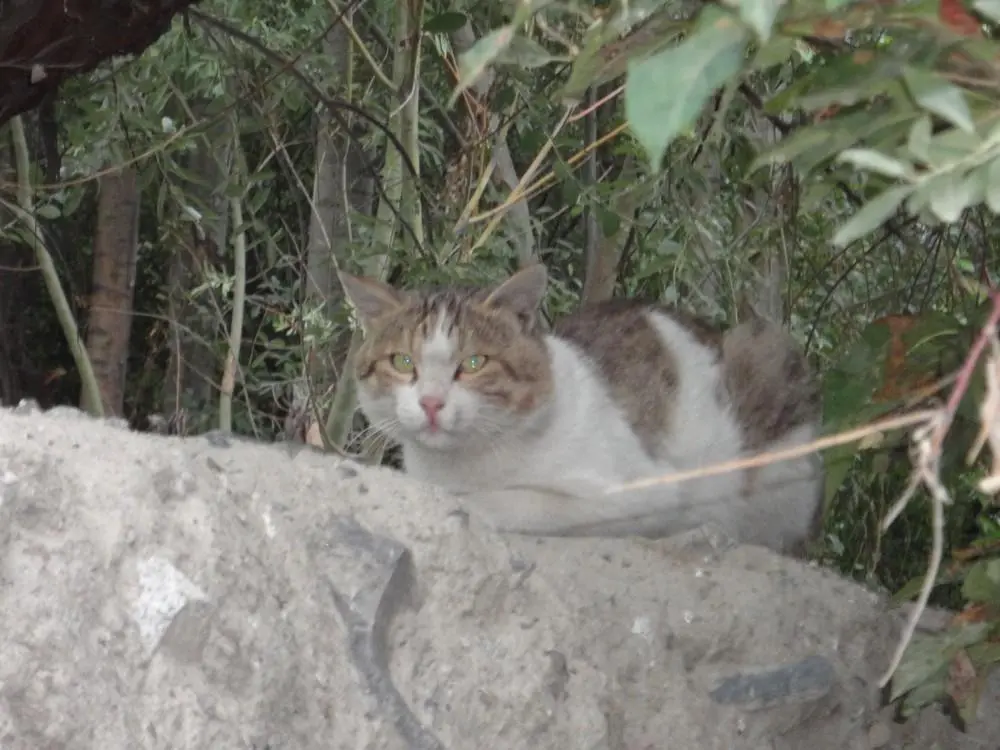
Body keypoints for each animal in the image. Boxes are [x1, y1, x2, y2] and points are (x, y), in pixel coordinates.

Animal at [337, 263, 824, 555]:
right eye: (403, 362)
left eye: (474, 363)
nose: (432, 402)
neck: (464, 463)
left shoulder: (636, 491)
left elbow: (520, 502)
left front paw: (470, 504)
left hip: (767, 358)